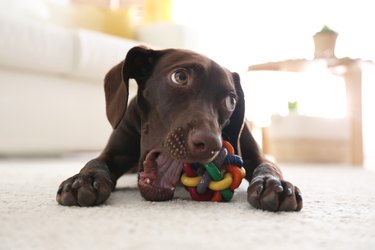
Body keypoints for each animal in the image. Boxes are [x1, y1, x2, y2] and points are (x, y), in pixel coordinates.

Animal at [55, 46, 302, 211]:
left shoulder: (253, 156)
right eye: (180, 77)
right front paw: (84, 179)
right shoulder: (115, 153)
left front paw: (275, 184)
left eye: (231, 101)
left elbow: (268, 166)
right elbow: (95, 162)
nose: (211, 145)